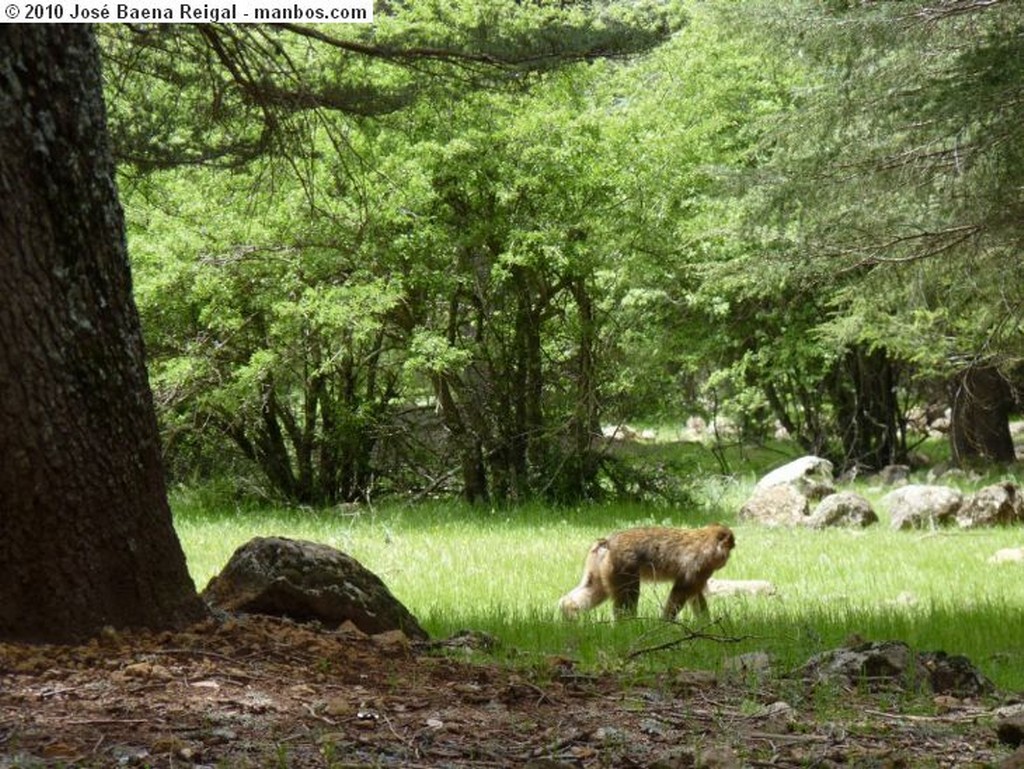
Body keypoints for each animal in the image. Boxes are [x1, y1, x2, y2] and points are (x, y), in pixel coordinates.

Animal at [561, 528, 737, 622]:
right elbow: (681, 591)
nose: (727, 559)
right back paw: (627, 625)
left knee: (596, 589)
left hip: (601, 567)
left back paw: (568, 611)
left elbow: (694, 595)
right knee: (629, 593)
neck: (706, 541)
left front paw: (705, 623)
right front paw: (665, 623)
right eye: (730, 549)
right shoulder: (699, 566)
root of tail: (607, 542)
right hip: (622, 566)